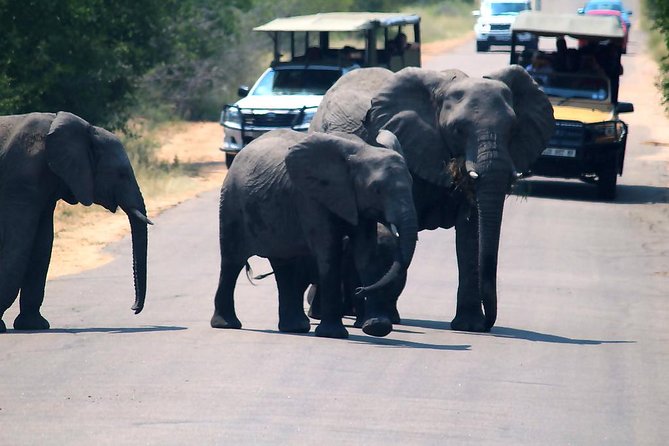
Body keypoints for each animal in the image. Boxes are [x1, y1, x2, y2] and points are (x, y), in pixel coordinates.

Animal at [0, 112, 151, 332]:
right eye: (121, 174)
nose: (134, 308)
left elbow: (43, 244)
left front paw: (33, 325)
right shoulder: (22, 178)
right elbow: (17, 243)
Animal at [211, 128, 418, 339]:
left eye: (412, 185)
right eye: (376, 190)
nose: (360, 289)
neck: (363, 151)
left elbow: (365, 254)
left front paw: (377, 328)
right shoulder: (309, 197)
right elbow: (328, 251)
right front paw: (333, 334)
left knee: (284, 265)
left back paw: (295, 328)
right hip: (231, 203)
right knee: (232, 261)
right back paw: (226, 325)